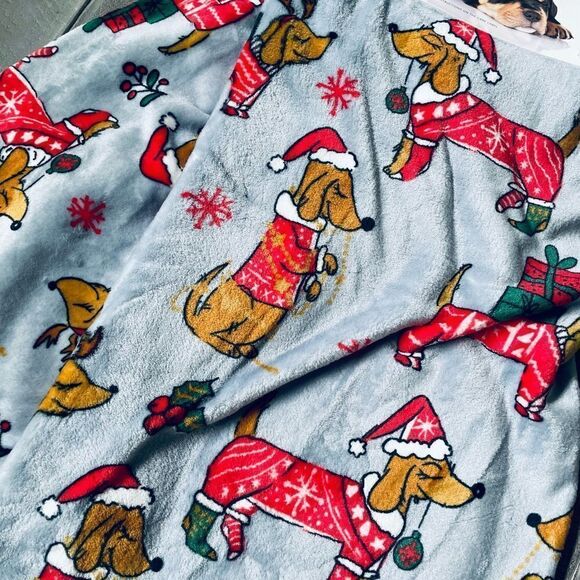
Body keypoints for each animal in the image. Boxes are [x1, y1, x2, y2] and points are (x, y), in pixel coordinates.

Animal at [182, 394, 485, 578]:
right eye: (432, 474)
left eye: (450, 468)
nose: (476, 491)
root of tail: (244, 437)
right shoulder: (354, 556)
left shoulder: (371, 565)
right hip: (223, 487)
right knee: (203, 512)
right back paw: (200, 546)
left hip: (250, 497)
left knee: (230, 517)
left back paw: (233, 545)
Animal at [184, 127, 374, 359]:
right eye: (340, 192)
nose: (368, 223)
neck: (303, 221)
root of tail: (198, 317)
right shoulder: (290, 247)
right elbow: (303, 259)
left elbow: (320, 258)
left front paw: (325, 269)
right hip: (241, 307)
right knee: (207, 333)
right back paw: (228, 347)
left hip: (267, 316)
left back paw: (244, 348)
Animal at [384, 22, 580, 236]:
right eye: (423, 27)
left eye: (429, 38)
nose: (392, 29)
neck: (436, 92)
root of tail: (558, 147)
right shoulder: (412, 129)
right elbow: (403, 151)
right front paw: (392, 168)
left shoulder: (427, 135)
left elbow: (415, 159)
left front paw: (404, 175)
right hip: (522, 176)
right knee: (522, 194)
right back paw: (505, 203)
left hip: (539, 180)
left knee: (541, 214)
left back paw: (522, 226)